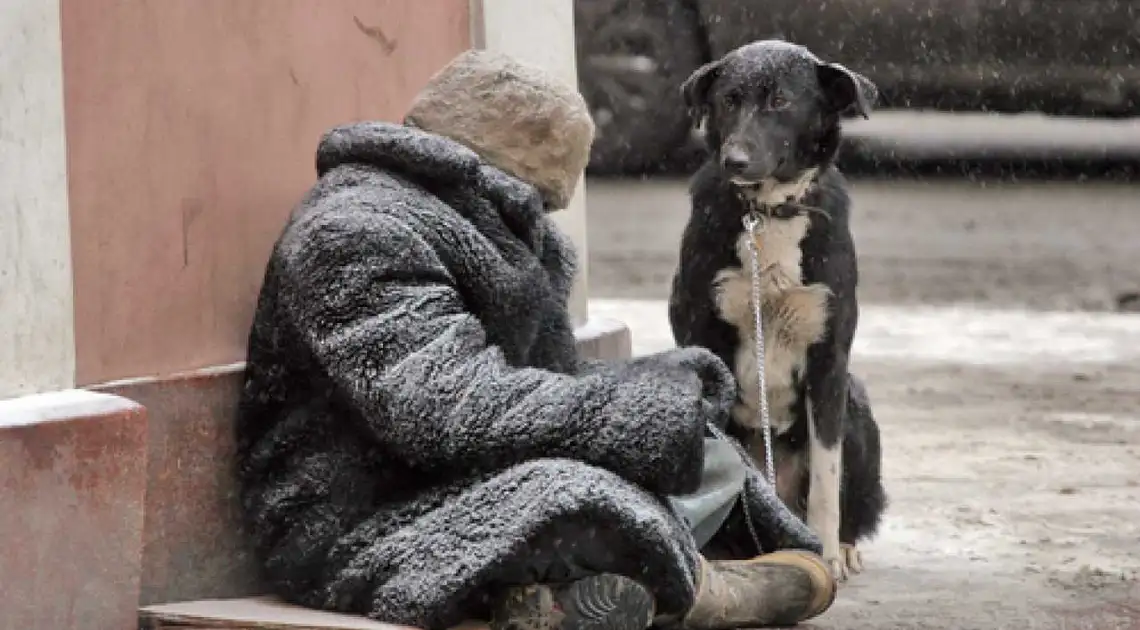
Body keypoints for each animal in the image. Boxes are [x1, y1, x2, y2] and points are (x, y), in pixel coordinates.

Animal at [665, 40, 889, 578]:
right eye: (728, 100)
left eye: (780, 101)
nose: (735, 160)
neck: (766, 213)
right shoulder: (703, 339)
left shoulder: (829, 359)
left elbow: (827, 476)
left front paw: (825, 553)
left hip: (855, 401)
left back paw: (842, 545)